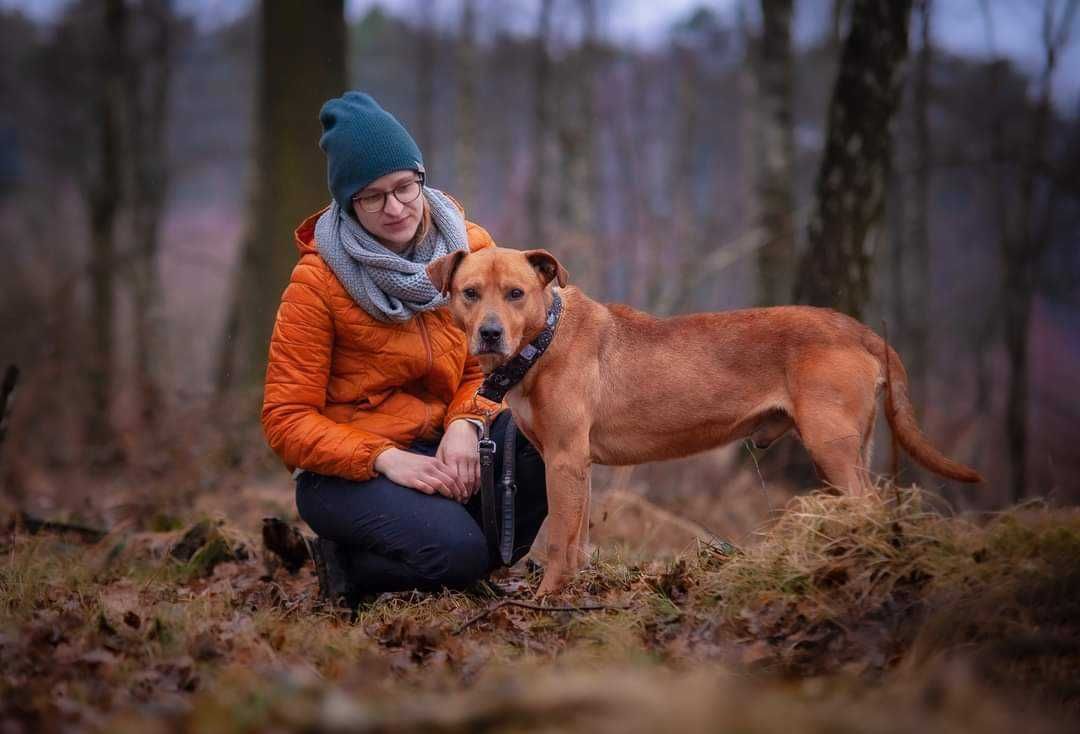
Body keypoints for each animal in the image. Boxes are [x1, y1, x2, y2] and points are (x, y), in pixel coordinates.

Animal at [425, 246, 984, 595]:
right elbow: (578, 539)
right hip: (849, 447)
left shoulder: (564, 460)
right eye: (470, 293)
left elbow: (561, 541)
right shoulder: (571, 464)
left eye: (516, 293)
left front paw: (547, 598)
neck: (544, 340)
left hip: (832, 444)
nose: (490, 334)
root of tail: (860, 330)